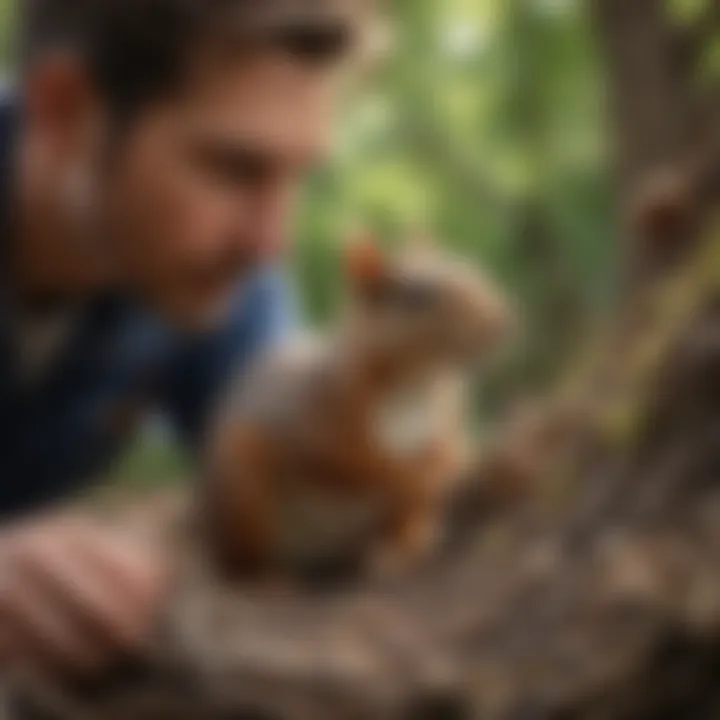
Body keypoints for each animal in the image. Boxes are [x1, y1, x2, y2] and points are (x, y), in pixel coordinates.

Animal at [200, 233, 510, 584]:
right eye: (419, 297)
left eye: (466, 266)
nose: (500, 321)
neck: (418, 382)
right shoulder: (318, 421)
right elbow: (358, 467)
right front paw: (409, 477)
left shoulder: (444, 420)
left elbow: (448, 453)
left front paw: (452, 467)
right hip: (243, 488)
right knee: (246, 562)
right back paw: (273, 581)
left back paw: (401, 546)